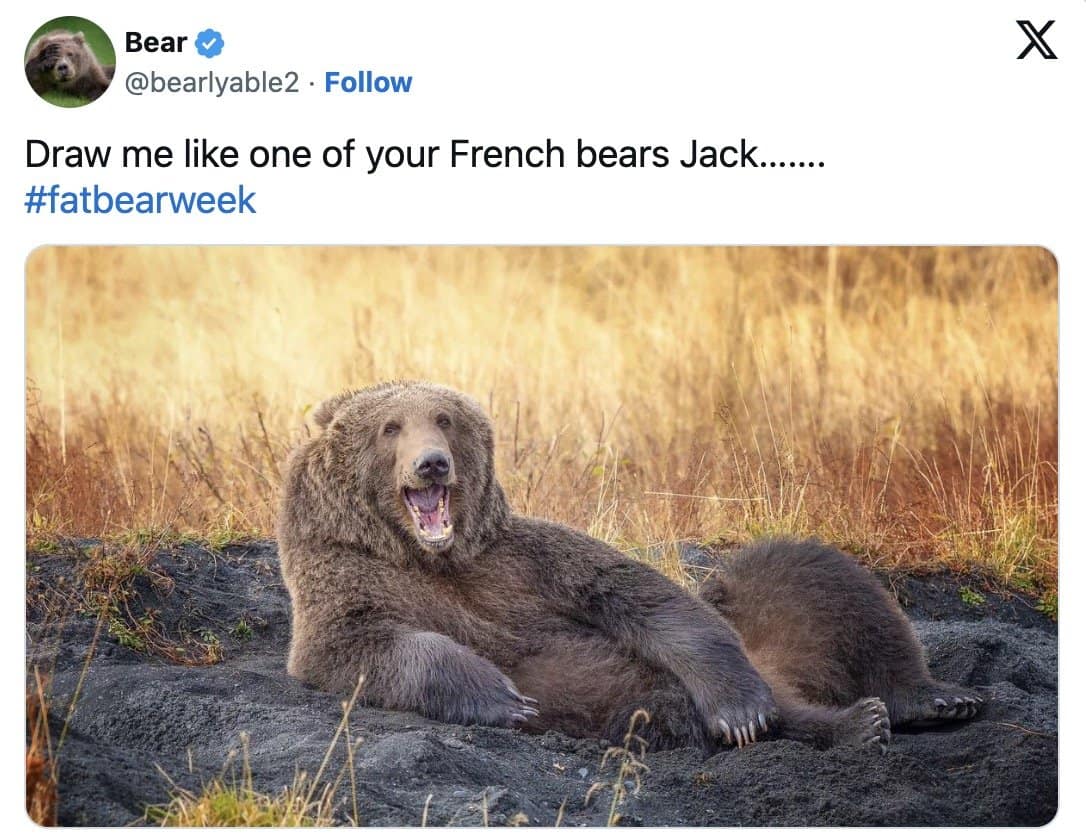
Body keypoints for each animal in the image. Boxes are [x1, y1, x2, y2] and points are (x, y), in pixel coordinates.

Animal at [277, 381, 983, 752]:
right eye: (390, 427)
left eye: (444, 419)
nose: (432, 464)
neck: (433, 554)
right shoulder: (347, 582)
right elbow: (364, 647)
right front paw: (504, 696)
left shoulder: (523, 560)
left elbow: (642, 595)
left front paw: (740, 707)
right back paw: (860, 723)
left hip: (765, 611)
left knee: (817, 573)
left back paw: (930, 698)